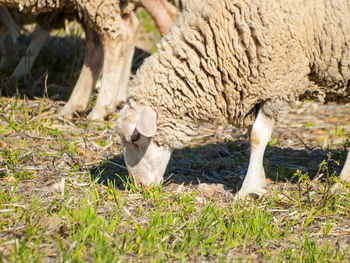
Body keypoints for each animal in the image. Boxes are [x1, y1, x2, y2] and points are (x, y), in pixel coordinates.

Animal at [116, 0, 350, 198]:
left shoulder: (280, 81)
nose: (139, 187)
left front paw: (247, 190)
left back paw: (341, 185)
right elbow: (251, 135)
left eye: (135, 137)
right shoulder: (258, 89)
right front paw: (259, 183)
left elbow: (257, 136)